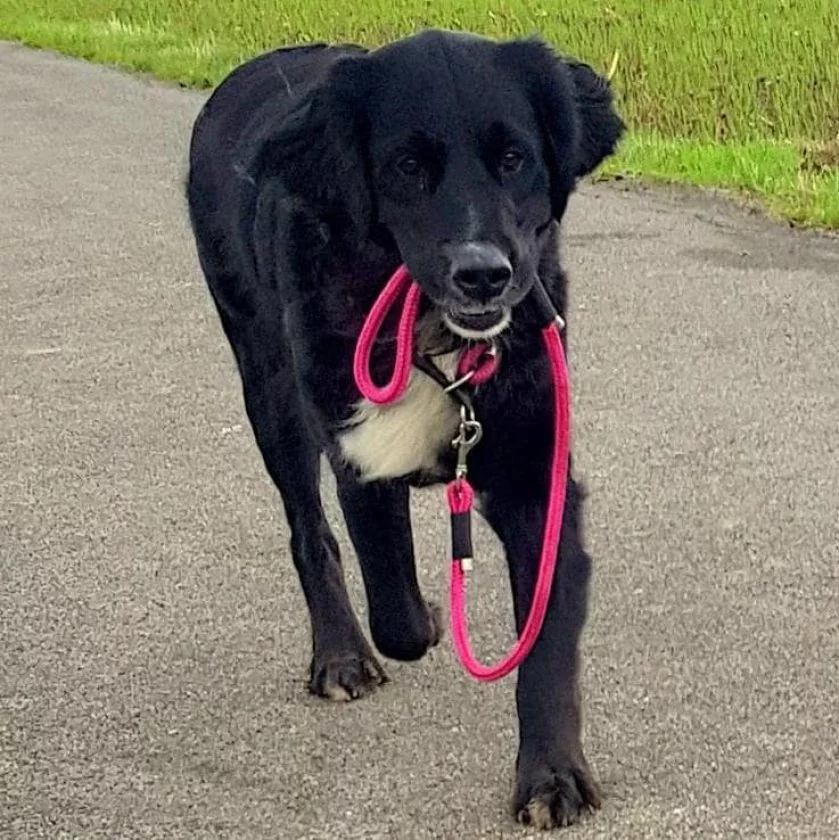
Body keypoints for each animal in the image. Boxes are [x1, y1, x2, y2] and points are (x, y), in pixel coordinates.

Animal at [189, 29, 624, 832]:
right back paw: (340, 656)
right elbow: (395, 608)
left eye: (514, 157)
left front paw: (552, 776)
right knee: (309, 532)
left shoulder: (538, 479)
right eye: (405, 167)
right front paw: (424, 620)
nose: (483, 274)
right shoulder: (358, 449)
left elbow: (545, 643)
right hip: (267, 389)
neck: (435, 336)